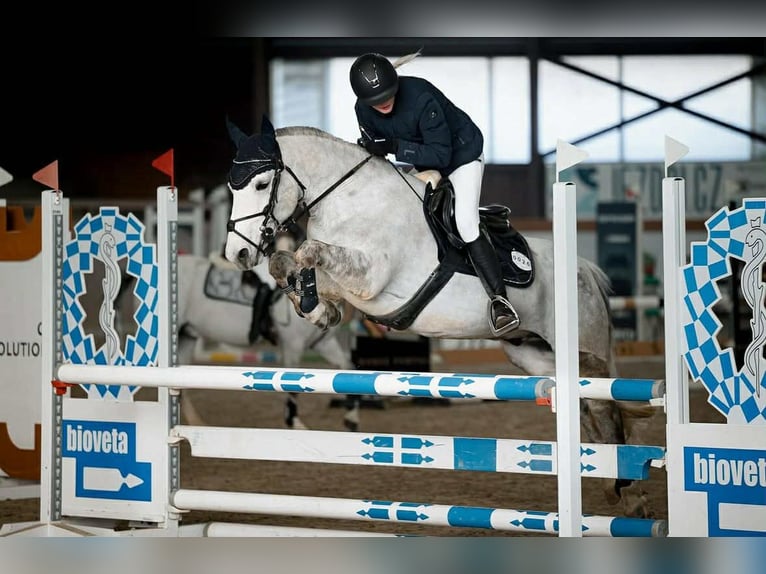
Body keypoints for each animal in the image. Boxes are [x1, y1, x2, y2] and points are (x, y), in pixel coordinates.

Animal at [222, 116, 659, 519]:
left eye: (261, 185)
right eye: (232, 188)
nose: (237, 254)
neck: (350, 199)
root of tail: (586, 269)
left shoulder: (372, 278)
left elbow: (308, 250)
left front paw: (311, 297)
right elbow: (286, 262)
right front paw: (314, 306)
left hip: (581, 342)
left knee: (602, 401)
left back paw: (630, 493)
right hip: (530, 354)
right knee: (584, 402)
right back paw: (610, 484)